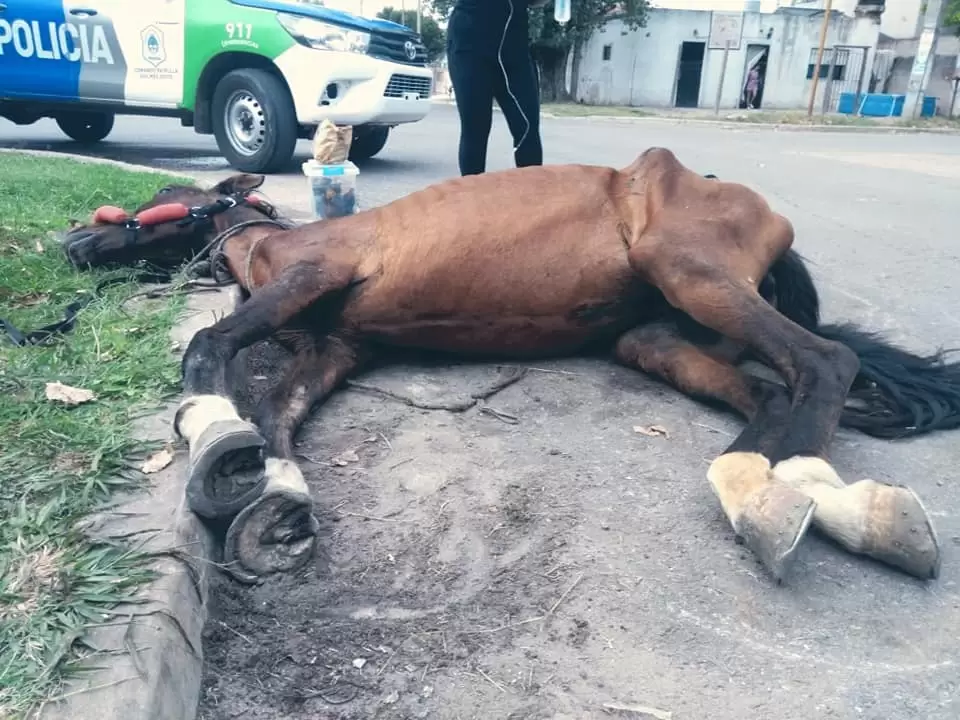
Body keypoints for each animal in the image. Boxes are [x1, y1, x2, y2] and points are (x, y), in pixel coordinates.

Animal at [60, 147, 956, 585]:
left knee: (827, 362)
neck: (266, 238)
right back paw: (776, 500)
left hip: (688, 268)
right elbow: (279, 416)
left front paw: (213, 442)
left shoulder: (313, 273)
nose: (70, 242)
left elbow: (210, 349)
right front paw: (275, 509)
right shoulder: (333, 349)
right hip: (658, 337)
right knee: (771, 396)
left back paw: (801, 504)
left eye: (151, 203)